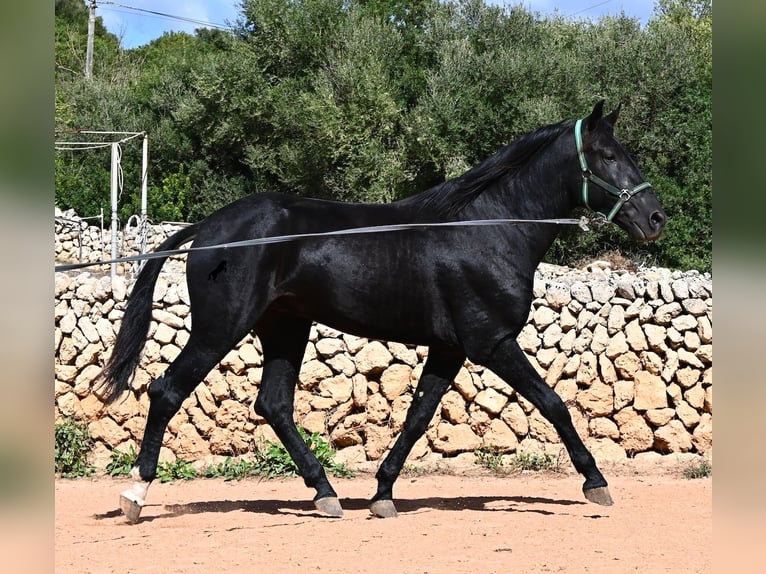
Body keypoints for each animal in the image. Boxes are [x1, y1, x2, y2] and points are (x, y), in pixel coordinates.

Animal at [101, 100, 666, 523]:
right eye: (606, 155)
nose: (655, 217)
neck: (486, 228)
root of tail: (209, 229)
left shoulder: (450, 348)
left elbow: (418, 417)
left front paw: (382, 494)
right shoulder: (491, 343)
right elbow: (553, 403)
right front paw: (596, 482)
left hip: (285, 327)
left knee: (274, 405)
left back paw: (325, 493)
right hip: (221, 328)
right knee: (167, 391)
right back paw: (136, 495)